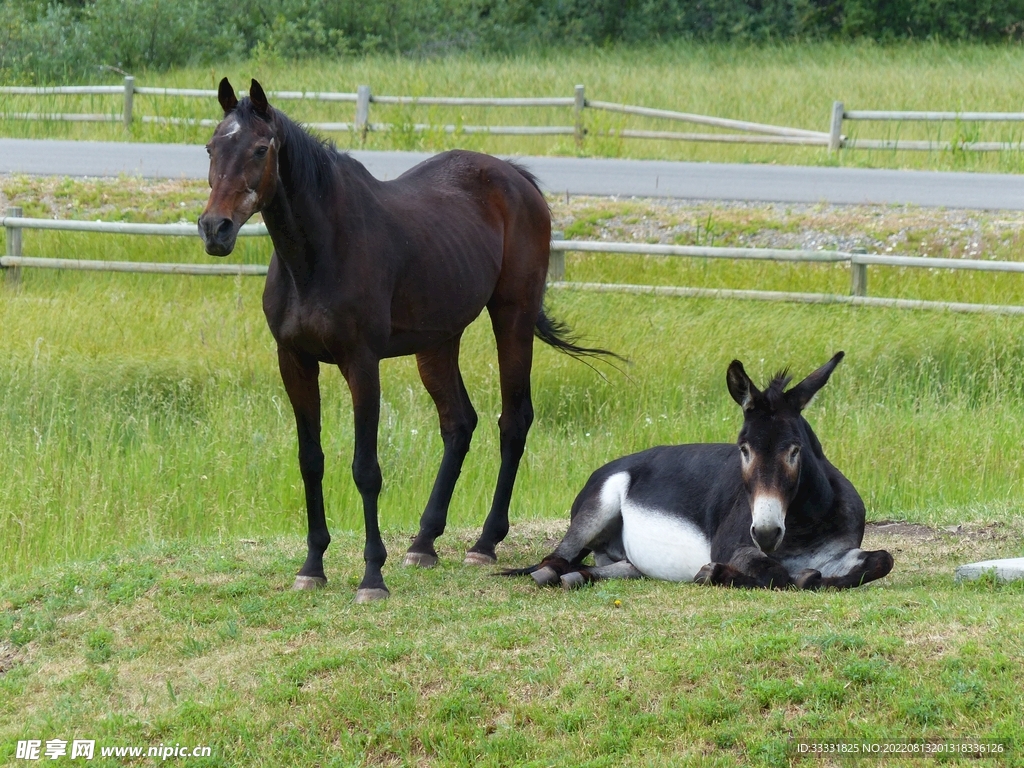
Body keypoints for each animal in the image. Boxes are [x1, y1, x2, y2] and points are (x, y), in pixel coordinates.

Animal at [198, 78, 611, 602]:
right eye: (211, 147)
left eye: (259, 148)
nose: (215, 228)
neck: (317, 254)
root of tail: (516, 179)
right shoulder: (294, 361)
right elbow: (311, 461)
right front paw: (313, 566)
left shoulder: (361, 363)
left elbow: (366, 469)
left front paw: (372, 575)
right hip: (438, 342)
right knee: (459, 423)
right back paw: (424, 541)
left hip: (512, 318)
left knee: (513, 421)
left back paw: (485, 542)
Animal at [503, 352, 894, 590]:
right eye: (744, 449)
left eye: (794, 450)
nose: (767, 533)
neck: (804, 526)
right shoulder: (733, 546)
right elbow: (775, 572)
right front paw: (715, 573)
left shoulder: (839, 553)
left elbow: (881, 561)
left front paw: (816, 578)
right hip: (597, 507)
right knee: (553, 560)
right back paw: (551, 575)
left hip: (626, 559)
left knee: (613, 568)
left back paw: (577, 578)